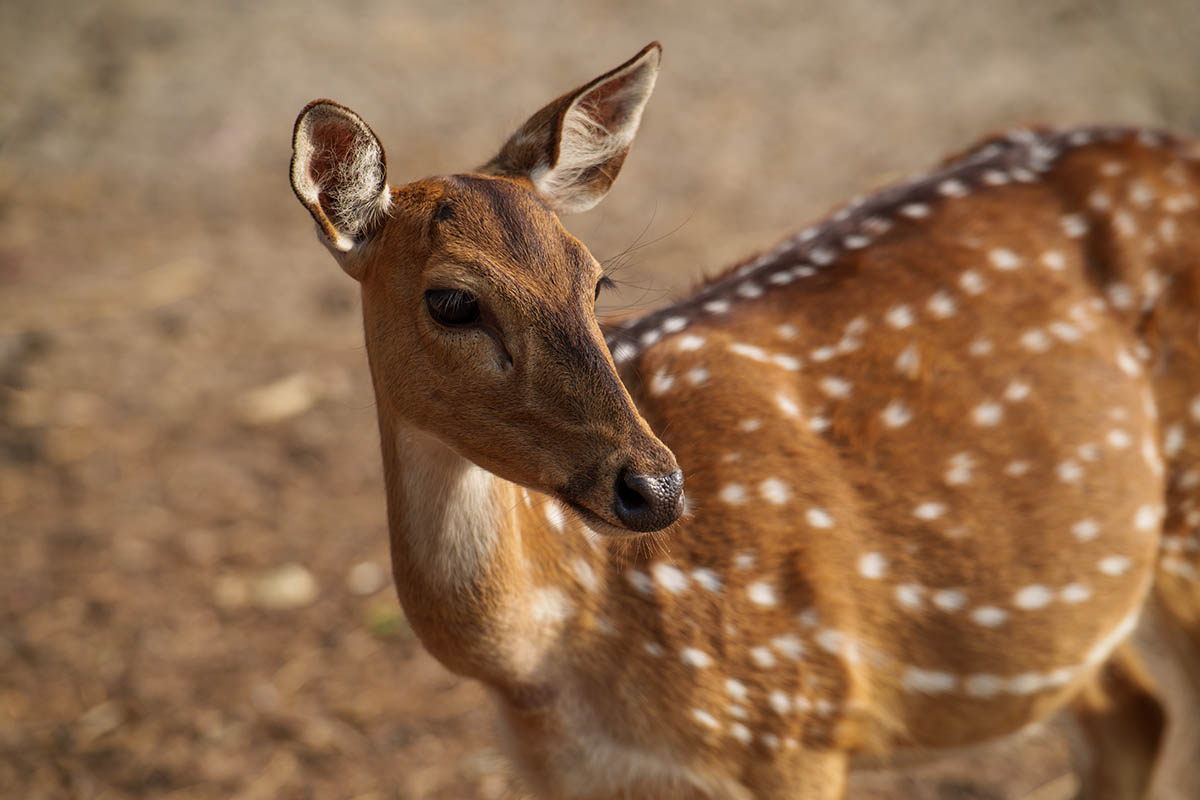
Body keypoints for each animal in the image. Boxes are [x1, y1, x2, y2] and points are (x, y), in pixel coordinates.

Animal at [290, 43, 1200, 799]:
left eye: (596, 281)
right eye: (450, 300)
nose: (654, 487)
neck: (548, 665)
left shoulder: (796, 721)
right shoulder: (562, 775)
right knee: (1132, 711)